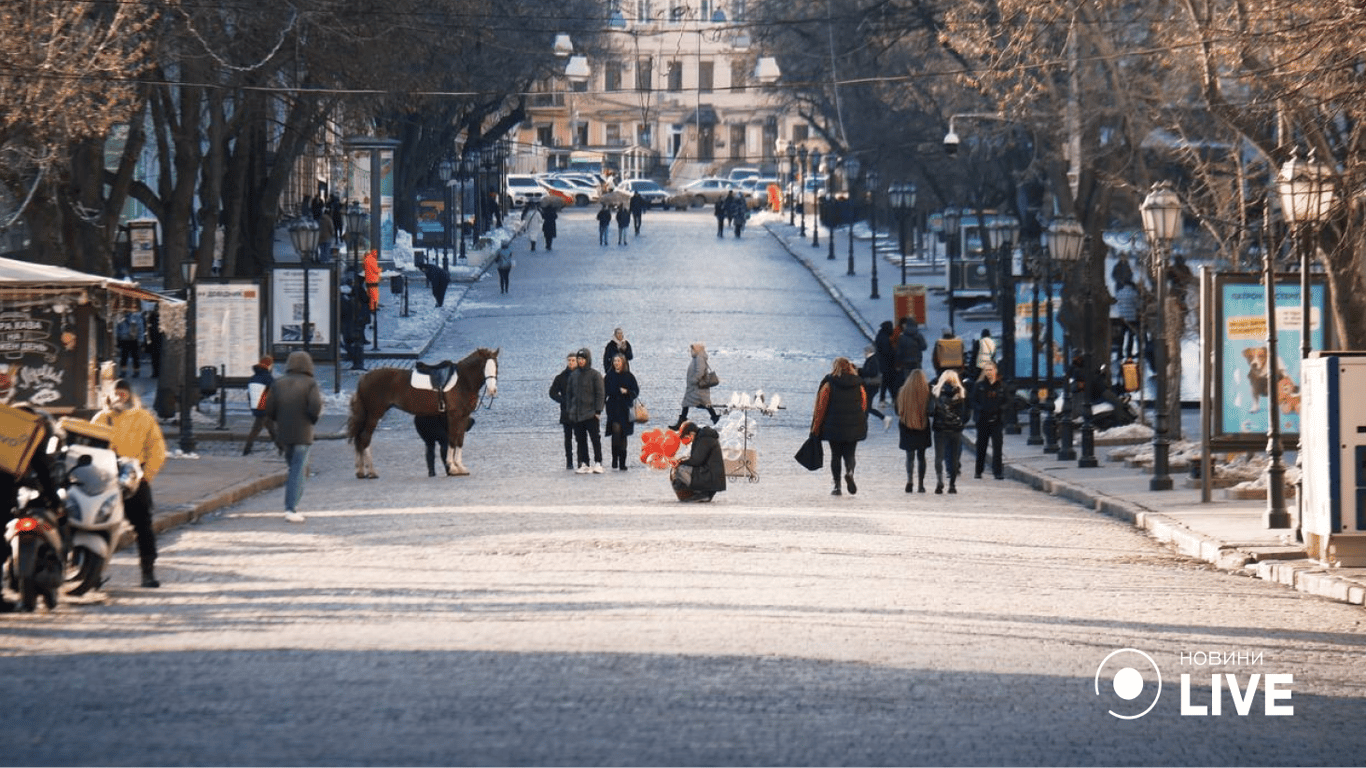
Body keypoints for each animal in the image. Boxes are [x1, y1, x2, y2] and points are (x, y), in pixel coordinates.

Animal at [346, 348, 502, 478]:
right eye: (483, 367)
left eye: (496, 366)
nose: (492, 390)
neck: (462, 381)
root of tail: (364, 378)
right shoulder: (454, 415)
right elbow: (452, 440)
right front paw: (452, 467)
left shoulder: (464, 416)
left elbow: (460, 441)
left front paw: (460, 467)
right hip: (374, 414)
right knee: (365, 437)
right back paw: (371, 471)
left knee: (359, 437)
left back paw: (361, 471)